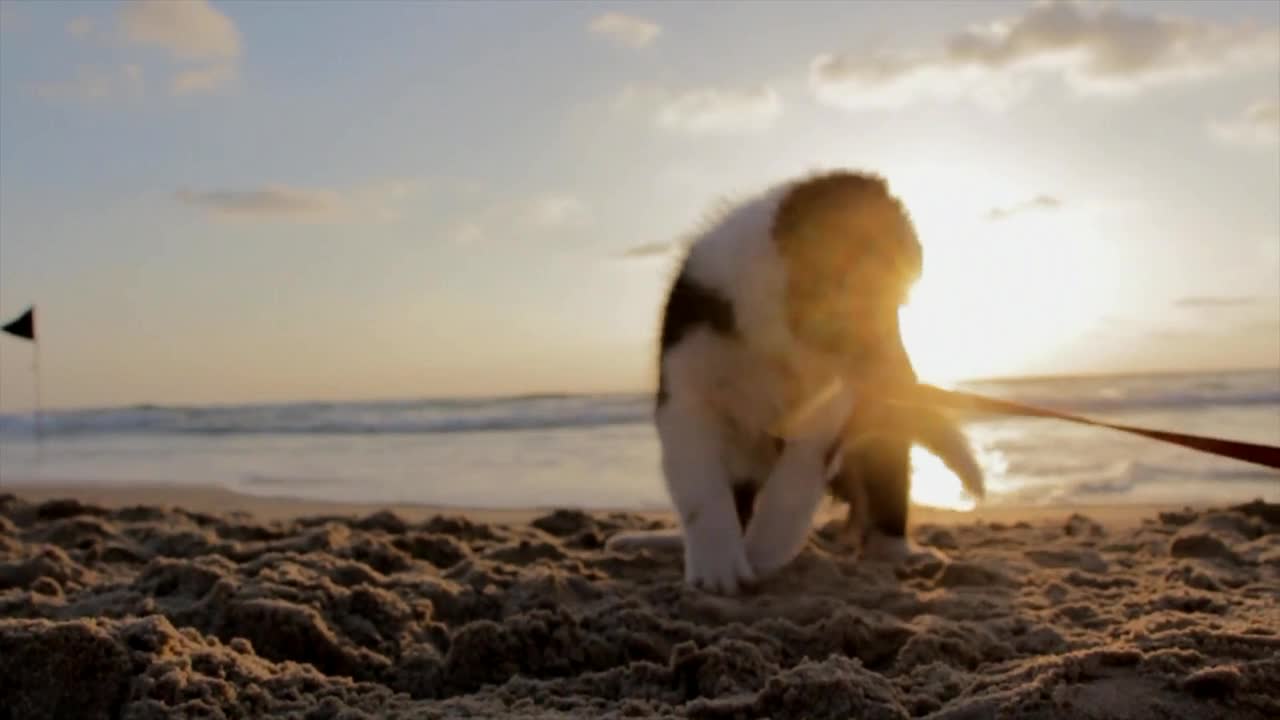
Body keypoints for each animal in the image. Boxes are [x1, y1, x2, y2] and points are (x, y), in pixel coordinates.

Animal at [604, 170, 983, 591]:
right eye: (864, 299)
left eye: (898, 303)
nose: (905, 377)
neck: (774, 336)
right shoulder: (687, 393)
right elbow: (702, 487)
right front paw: (718, 568)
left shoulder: (826, 411)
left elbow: (791, 488)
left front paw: (762, 554)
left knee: (886, 487)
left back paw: (899, 552)